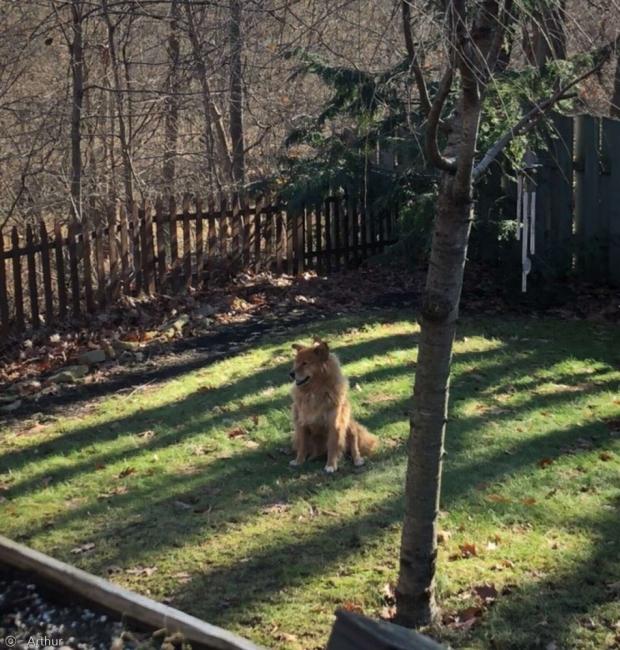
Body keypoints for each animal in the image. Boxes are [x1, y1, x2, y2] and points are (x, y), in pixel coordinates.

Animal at [290, 340, 378, 470]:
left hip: (349, 423)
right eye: (295, 363)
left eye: (305, 363)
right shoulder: (302, 423)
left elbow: (332, 446)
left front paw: (331, 465)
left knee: (354, 441)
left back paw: (357, 459)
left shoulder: (334, 424)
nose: (291, 374)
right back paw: (312, 457)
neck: (314, 391)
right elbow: (302, 445)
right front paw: (299, 461)